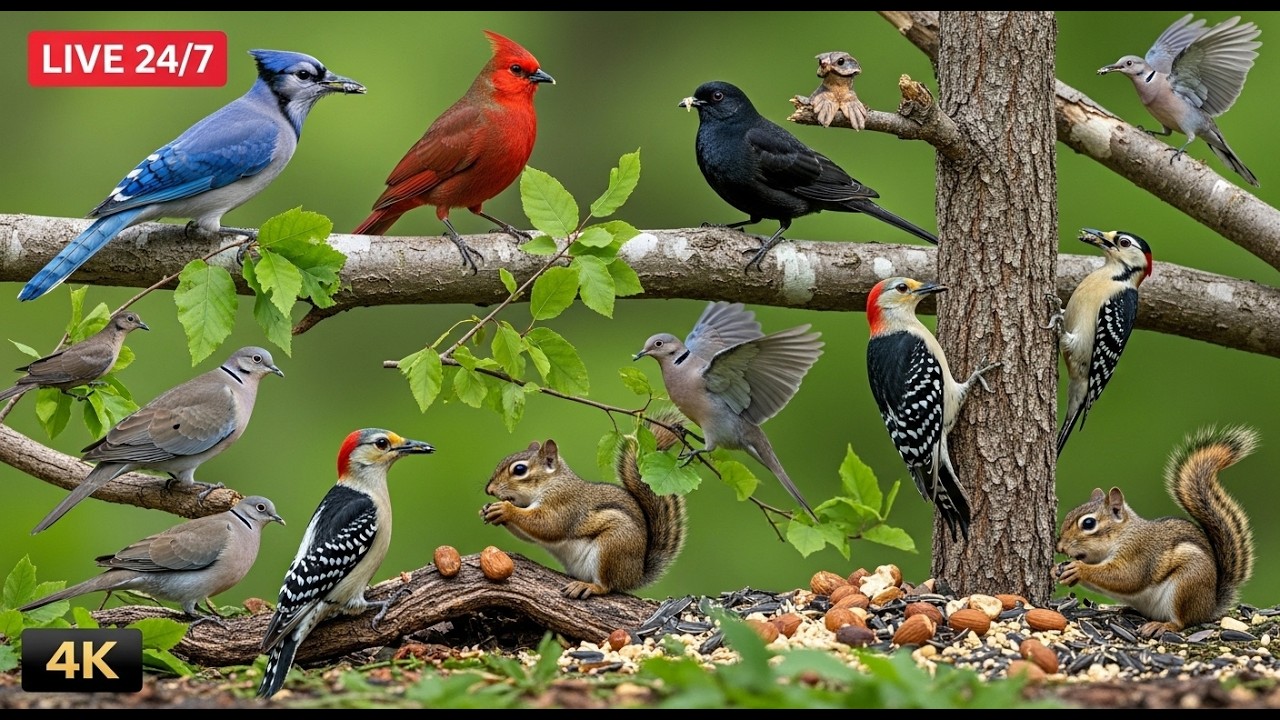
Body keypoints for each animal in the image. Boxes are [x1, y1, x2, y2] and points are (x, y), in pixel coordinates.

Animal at [480, 410, 688, 599]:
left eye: (520, 469)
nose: (489, 490)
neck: (551, 482)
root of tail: (635, 575)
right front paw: (489, 511)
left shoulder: (564, 503)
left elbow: (548, 525)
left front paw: (505, 509)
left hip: (612, 547)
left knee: (607, 586)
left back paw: (589, 586)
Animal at [1055, 424, 1258, 638]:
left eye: (1088, 523)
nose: (1059, 547)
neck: (1123, 534)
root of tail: (1209, 606)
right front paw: (1058, 570)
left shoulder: (1139, 553)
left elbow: (1126, 577)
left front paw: (1079, 569)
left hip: (1186, 584)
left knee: (1183, 621)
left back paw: (1163, 626)